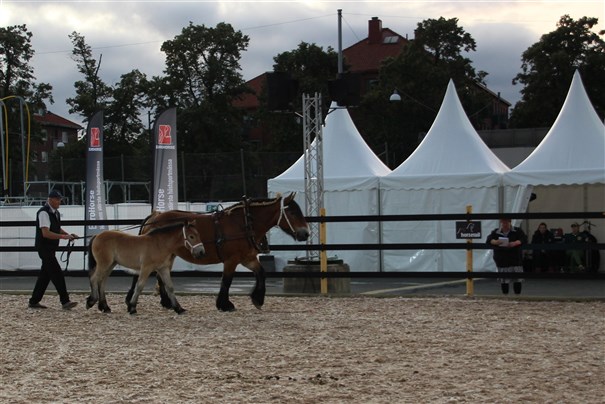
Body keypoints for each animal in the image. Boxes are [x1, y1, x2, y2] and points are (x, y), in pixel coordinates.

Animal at [125, 191, 310, 310]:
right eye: (293, 213)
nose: (306, 233)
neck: (244, 223)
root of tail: (155, 215)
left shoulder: (247, 258)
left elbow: (261, 273)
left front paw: (257, 299)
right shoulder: (232, 260)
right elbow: (226, 281)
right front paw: (224, 304)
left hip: (168, 255)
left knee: (160, 275)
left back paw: (166, 302)